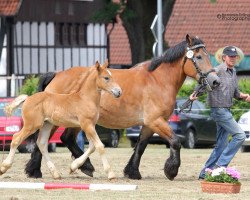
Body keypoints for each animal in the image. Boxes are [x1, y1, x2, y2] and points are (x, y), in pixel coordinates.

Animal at [24, 34, 220, 180]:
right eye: (199, 57)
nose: (215, 81)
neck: (158, 80)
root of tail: (57, 74)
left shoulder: (149, 124)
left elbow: (141, 146)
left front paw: (132, 172)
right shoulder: (156, 121)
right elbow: (176, 142)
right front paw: (171, 170)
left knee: (66, 139)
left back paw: (85, 166)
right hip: (57, 120)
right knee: (45, 141)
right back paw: (35, 171)